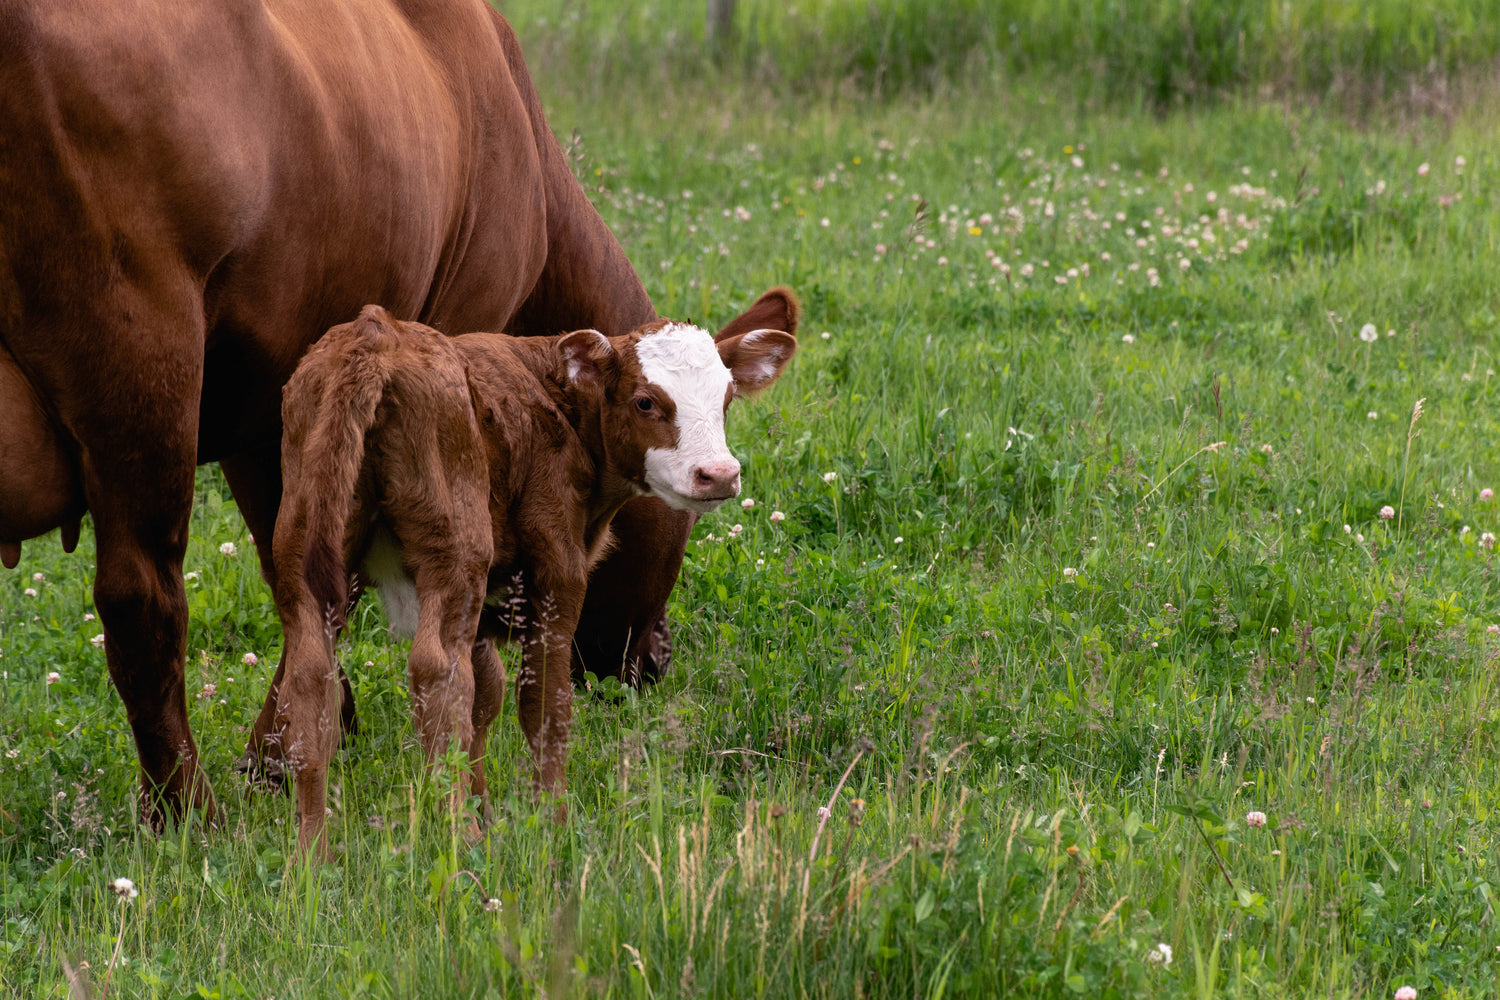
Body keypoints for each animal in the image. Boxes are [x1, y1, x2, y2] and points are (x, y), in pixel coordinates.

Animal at [272, 305, 796, 856]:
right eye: (645, 401)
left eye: (727, 399)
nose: (718, 474)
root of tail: (376, 333)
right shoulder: (556, 573)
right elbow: (544, 702)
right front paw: (554, 825)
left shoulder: (487, 604)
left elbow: (486, 696)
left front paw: (486, 807)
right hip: (456, 549)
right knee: (438, 673)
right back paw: (461, 842)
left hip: (305, 546)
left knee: (309, 678)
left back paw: (312, 853)